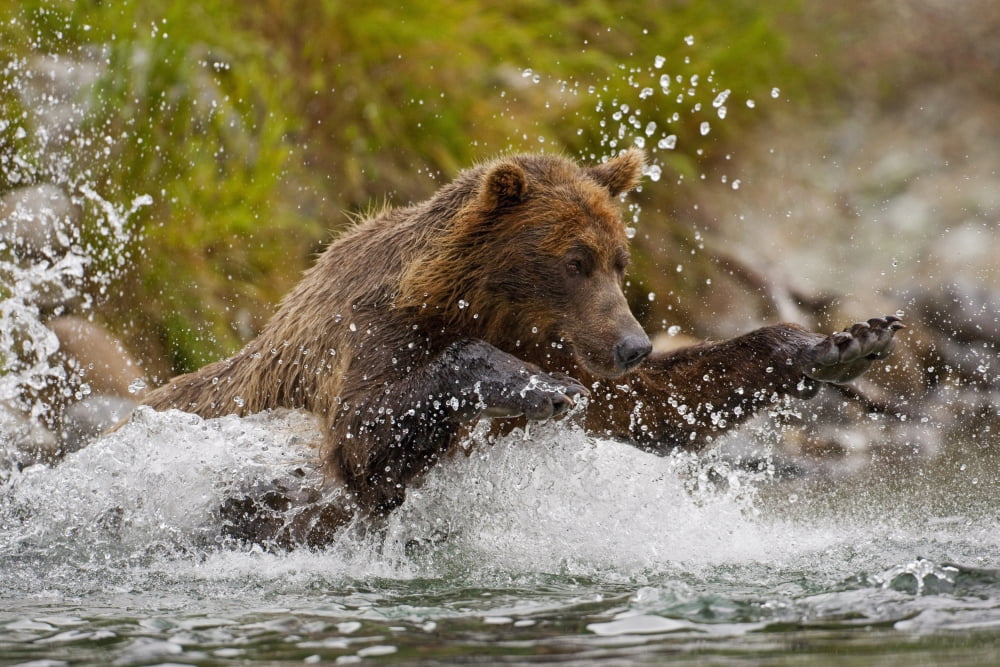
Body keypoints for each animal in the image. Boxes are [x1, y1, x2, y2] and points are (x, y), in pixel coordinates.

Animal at [141, 149, 903, 546]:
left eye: (620, 260)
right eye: (575, 260)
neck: (476, 305)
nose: (633, 342)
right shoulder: (366, 335)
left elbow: (648, 404)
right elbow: (364, 440)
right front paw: (531, 386)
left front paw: (842, 341)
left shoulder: (572, 347)